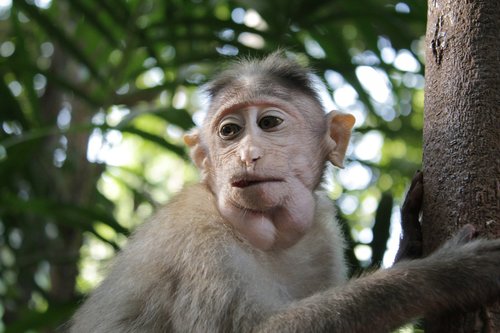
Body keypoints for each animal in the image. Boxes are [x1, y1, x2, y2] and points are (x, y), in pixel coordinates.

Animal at [70, 53, 500, 330]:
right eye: (230, 131)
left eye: (269, 123)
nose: (248, 154)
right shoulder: (196, 242)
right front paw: (444, 274)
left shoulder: (323, 232)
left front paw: (411, 243)